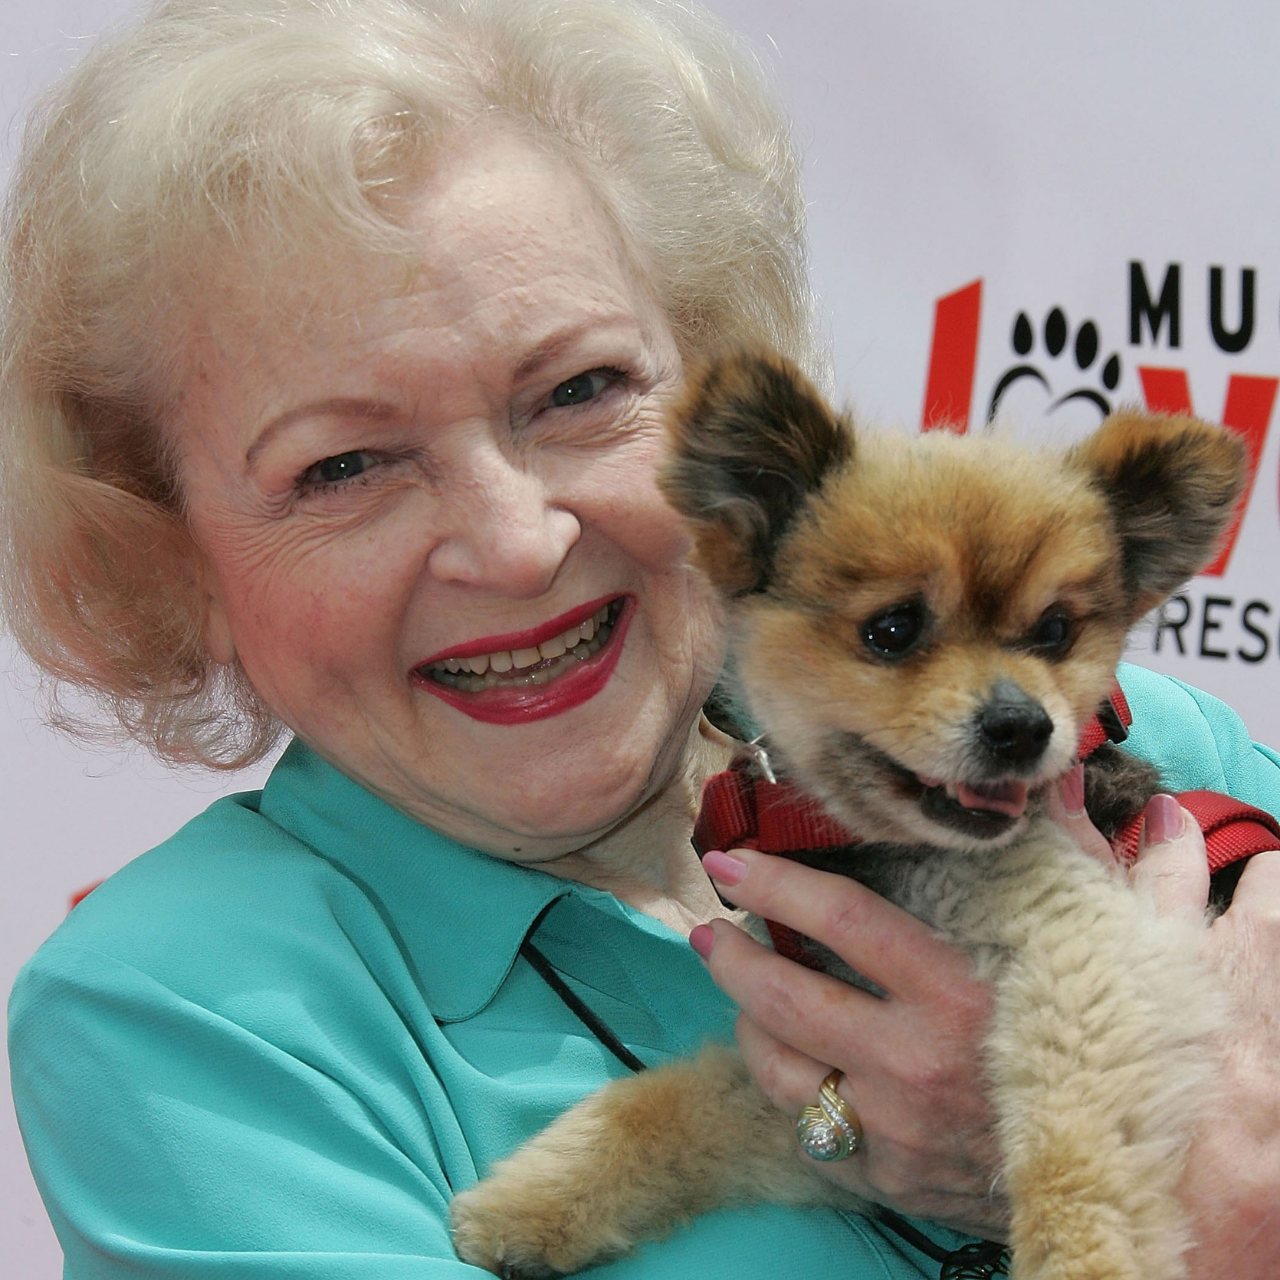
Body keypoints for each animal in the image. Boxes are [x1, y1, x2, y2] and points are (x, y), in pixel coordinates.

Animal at [453, 350, 1249, 1280]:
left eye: (1055, 632)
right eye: (893, 629)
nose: (1022, 727)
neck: (869, 848)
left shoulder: (1089, 950)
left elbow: (1076, 1153)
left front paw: (1082, 1260)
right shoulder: (817, 1098)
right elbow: (670, 1107)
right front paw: (530, 1199)